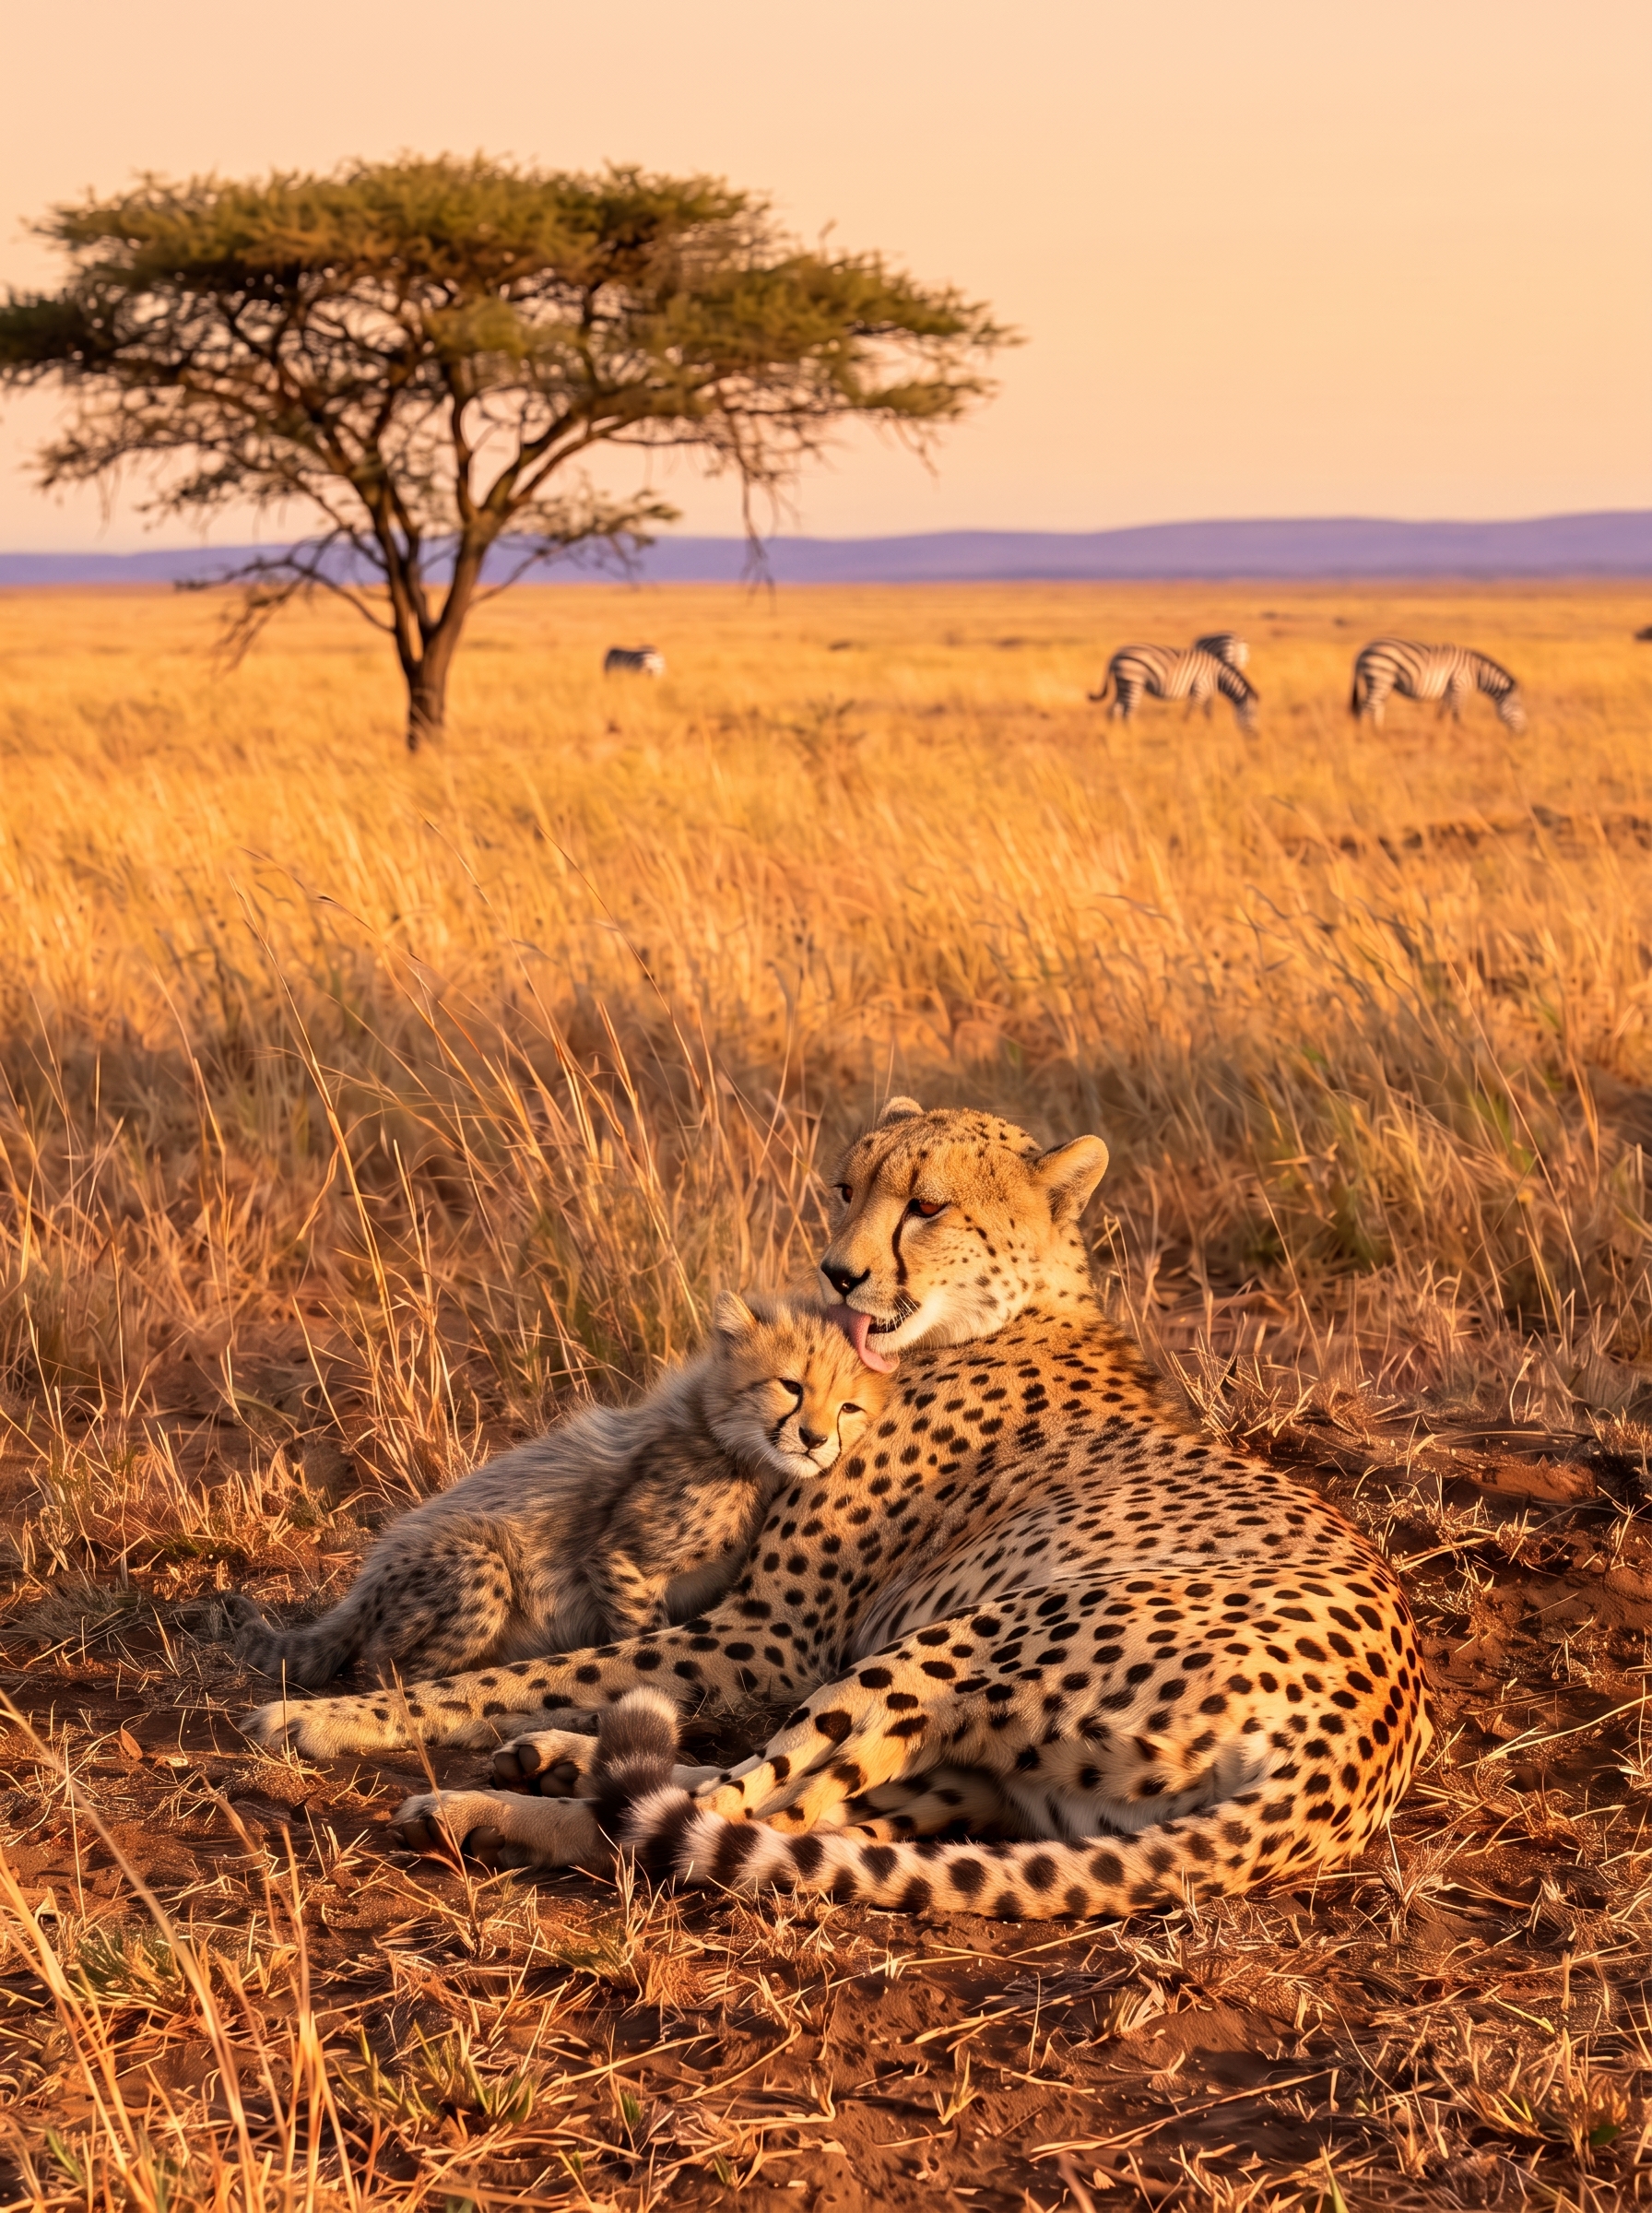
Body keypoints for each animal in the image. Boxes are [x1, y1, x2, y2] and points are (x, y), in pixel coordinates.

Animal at [228, 1291, 890, 1689]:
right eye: (791, 1386)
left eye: (849, 1408)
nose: (813, 1439)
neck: (730, 1445)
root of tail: (369, 1573)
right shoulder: (617, 1555)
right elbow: (642, 1638)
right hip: (479, 1566)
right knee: (385, 1669)